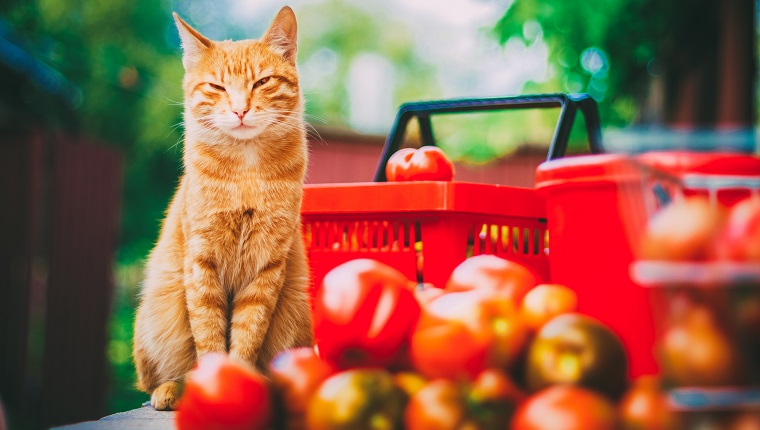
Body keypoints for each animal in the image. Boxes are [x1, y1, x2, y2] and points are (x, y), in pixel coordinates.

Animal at [134, 5, 314, 410]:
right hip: (158, 309)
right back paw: (171, 390)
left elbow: (247, 334)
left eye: (262, 82)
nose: (240, 110)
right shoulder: (202, 263)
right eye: (217, 87)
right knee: (159, 378)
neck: (246, 171)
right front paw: (213, 388)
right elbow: (210, 335)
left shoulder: (266, 267)